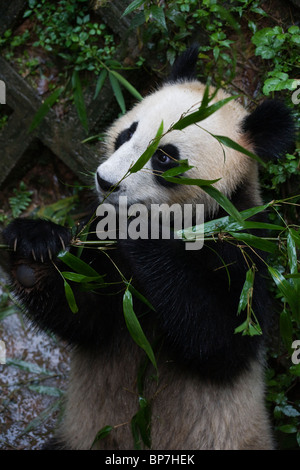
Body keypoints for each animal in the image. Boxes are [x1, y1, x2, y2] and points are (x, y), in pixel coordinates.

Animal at [2, 46, 296, 450]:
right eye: (127, 134)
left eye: (164, 157)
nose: (105, 181)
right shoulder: (104, 251)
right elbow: (86, 315)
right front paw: (34, 247)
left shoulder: (242, 248)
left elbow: (222, 340)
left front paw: (141, 233)